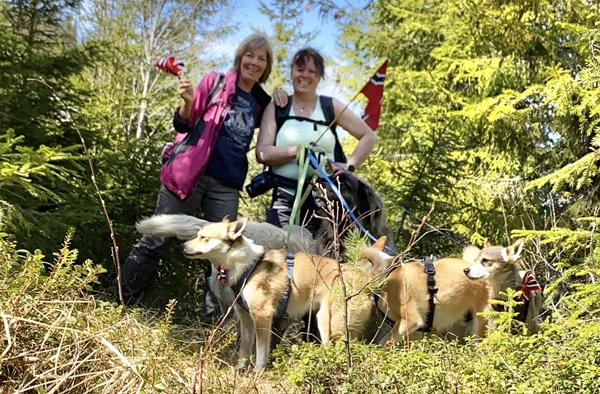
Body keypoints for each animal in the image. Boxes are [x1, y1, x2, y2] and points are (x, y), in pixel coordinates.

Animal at [182, 219, 376, 370]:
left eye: (204, 238)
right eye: (198, 234)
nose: (182, 246)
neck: (249, 266)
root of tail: (364, 280)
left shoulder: (262, 316)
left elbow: (260, 353)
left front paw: (257, 374)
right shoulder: (246, 319)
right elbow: (245, 350)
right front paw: (240, 371)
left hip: (330, 325)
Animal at [360, 235, 492, 344]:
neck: (386, 273)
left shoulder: (410, 321)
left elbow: (382, 344)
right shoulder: (414, 332)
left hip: (479, 327)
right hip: (458, 329)